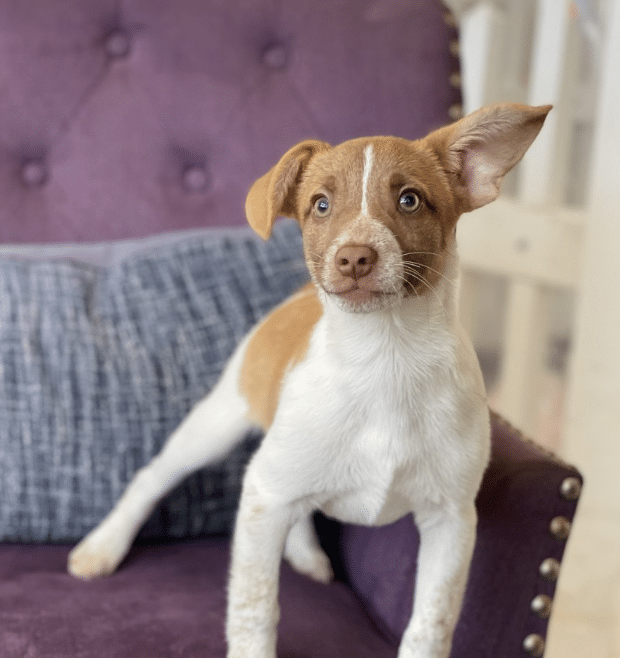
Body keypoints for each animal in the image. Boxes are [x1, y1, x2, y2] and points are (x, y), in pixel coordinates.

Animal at [70, 102, 548, 656]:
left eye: (409, 200)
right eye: (320, 205)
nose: (354, 257)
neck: (385, 357)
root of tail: (297, 295)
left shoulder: (450, 520)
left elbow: (430, 625)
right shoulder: (263, 498)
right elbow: (255, 608)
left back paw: (304, 554)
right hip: (218, 422)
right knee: (152, 477)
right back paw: (102, 547)